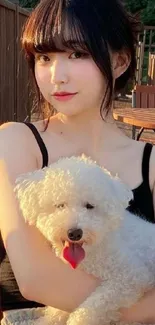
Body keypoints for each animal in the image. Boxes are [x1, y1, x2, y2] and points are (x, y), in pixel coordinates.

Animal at [13, 154, 155, 324]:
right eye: (60, 205)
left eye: (89, 206)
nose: (75, 233)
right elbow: (57, 311)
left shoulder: (131, 277)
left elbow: (93, 306)